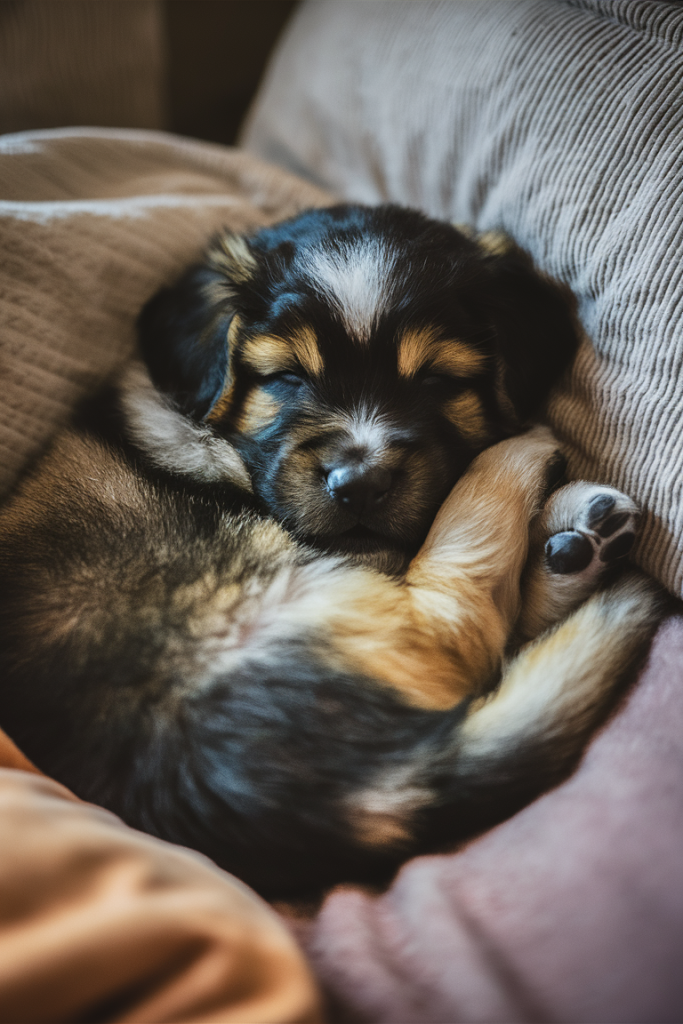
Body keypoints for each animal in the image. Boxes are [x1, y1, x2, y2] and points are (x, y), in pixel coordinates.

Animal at [0, 203, 663, 892]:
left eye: (438, 379)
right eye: (287, 377)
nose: (360, 484)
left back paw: (578, 541)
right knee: (469, 608)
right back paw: (532, 465)